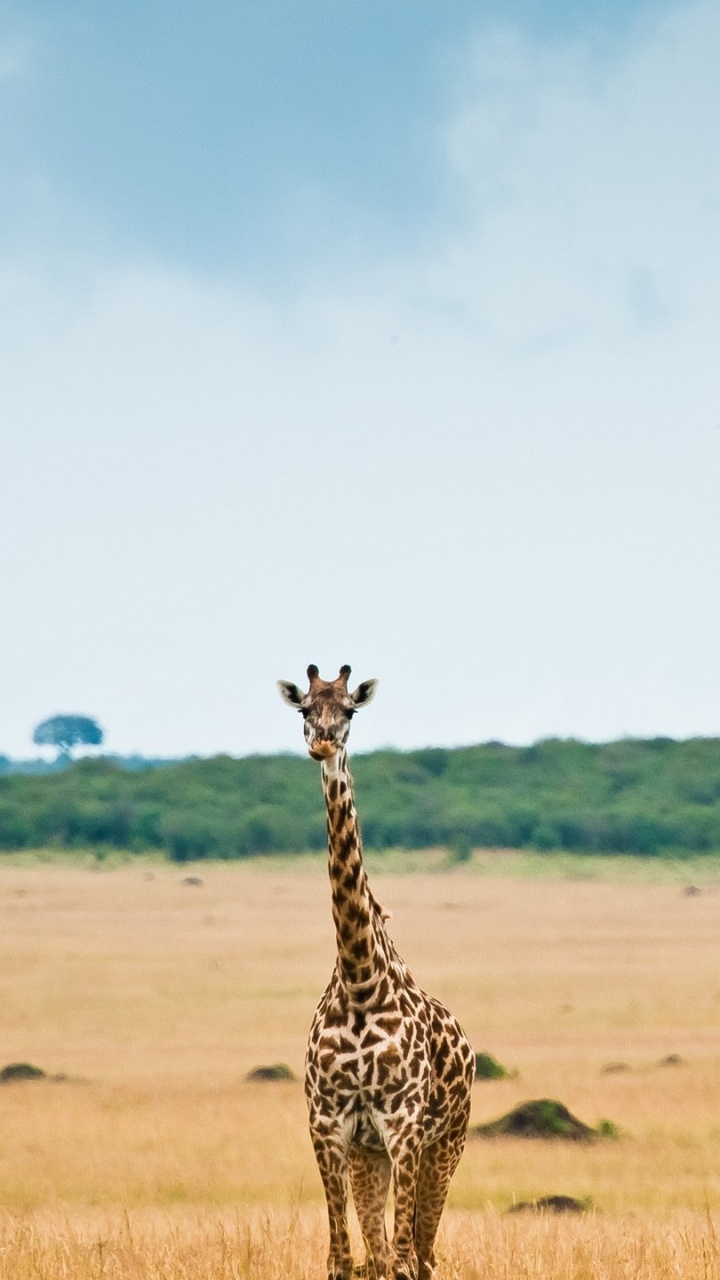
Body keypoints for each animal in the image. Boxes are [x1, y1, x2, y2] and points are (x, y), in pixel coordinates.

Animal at [277, 664, 475, 1280]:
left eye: (350, 710)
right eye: (304, 709)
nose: (322, 743)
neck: (362, 978)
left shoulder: (404, 1126)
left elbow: (405, 1258)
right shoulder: (328, 1125)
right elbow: (345, 1258)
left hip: (446, 1144)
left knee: (423, 1254)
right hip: (371, 1157)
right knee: (381, 1253)